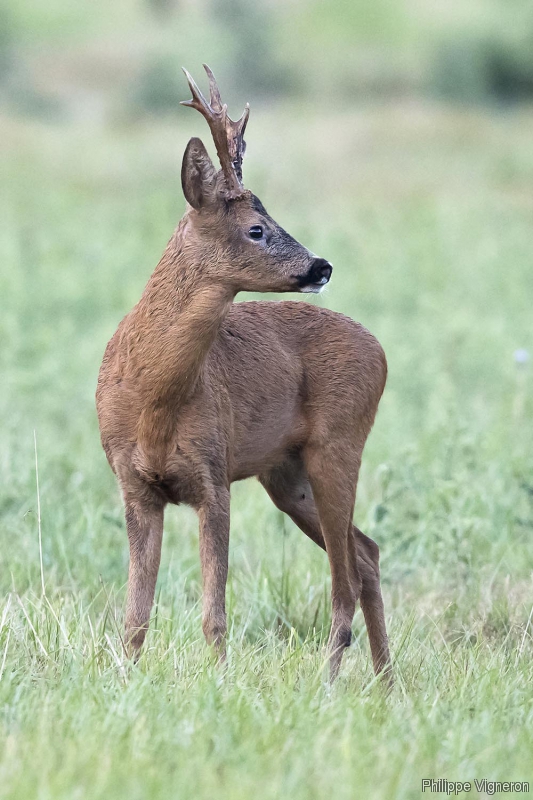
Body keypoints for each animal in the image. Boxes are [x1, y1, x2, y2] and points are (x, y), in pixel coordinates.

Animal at [95, 65, 390, 684]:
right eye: (257, 228)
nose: (321, 266)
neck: (154, 396)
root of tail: (380, 351)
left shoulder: (214, 475)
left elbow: (214, 614)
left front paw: (220, 684)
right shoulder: (135, 485)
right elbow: (135, 616)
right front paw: (123, 682)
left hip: (338, 445)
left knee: (346, 578)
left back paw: (330, 684)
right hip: (287, 475)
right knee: (367, 554)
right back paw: (386, 684)